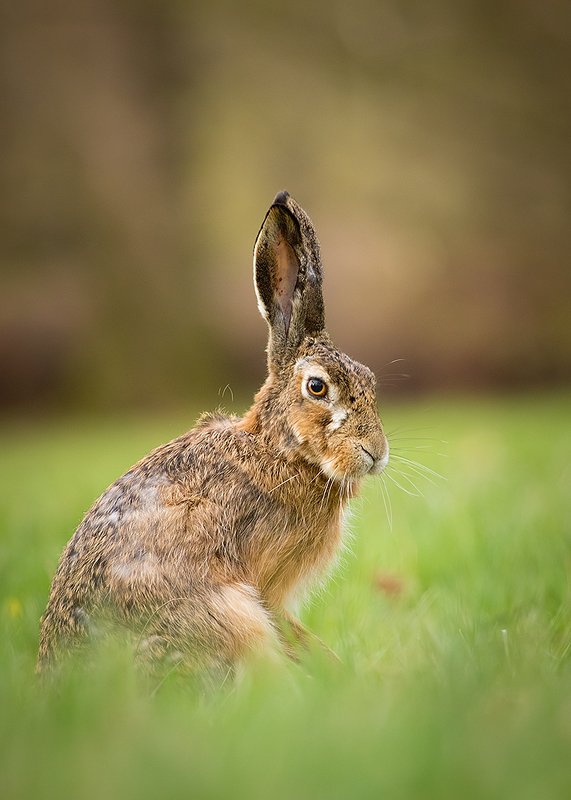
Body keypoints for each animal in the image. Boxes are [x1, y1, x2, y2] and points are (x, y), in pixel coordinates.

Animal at [37, 191, 390, 677]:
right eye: (317, 387)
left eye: (371, 381)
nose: (376, 452)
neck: (277, 451)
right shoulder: (264, 584)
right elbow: (286, 625)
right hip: (226, 617)